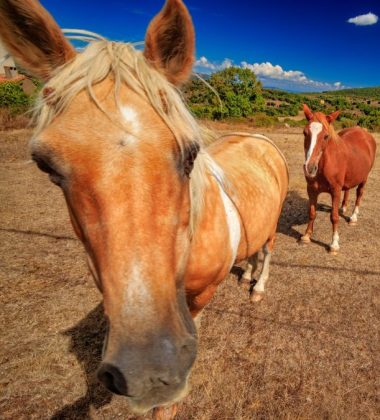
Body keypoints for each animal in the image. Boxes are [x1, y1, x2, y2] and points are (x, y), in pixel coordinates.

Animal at [0, 0, 288, 416]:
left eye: (190, 153)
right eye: (45, 165)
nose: (148, 370)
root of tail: (258, 138)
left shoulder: (199, 298)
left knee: (267, 252)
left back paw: (258, 286)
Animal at [300, 103, 378, 254]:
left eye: (326, 136)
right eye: (305, 133)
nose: (310, 168)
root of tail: (365, 134)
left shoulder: (335, 191)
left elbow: (334, 217)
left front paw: (334, 244)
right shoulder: (311, 190)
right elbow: (312, 212)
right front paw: (306, 236)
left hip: (364, 178)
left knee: (359, 194)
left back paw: (353, 217)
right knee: (347, 190)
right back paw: (343, 207)